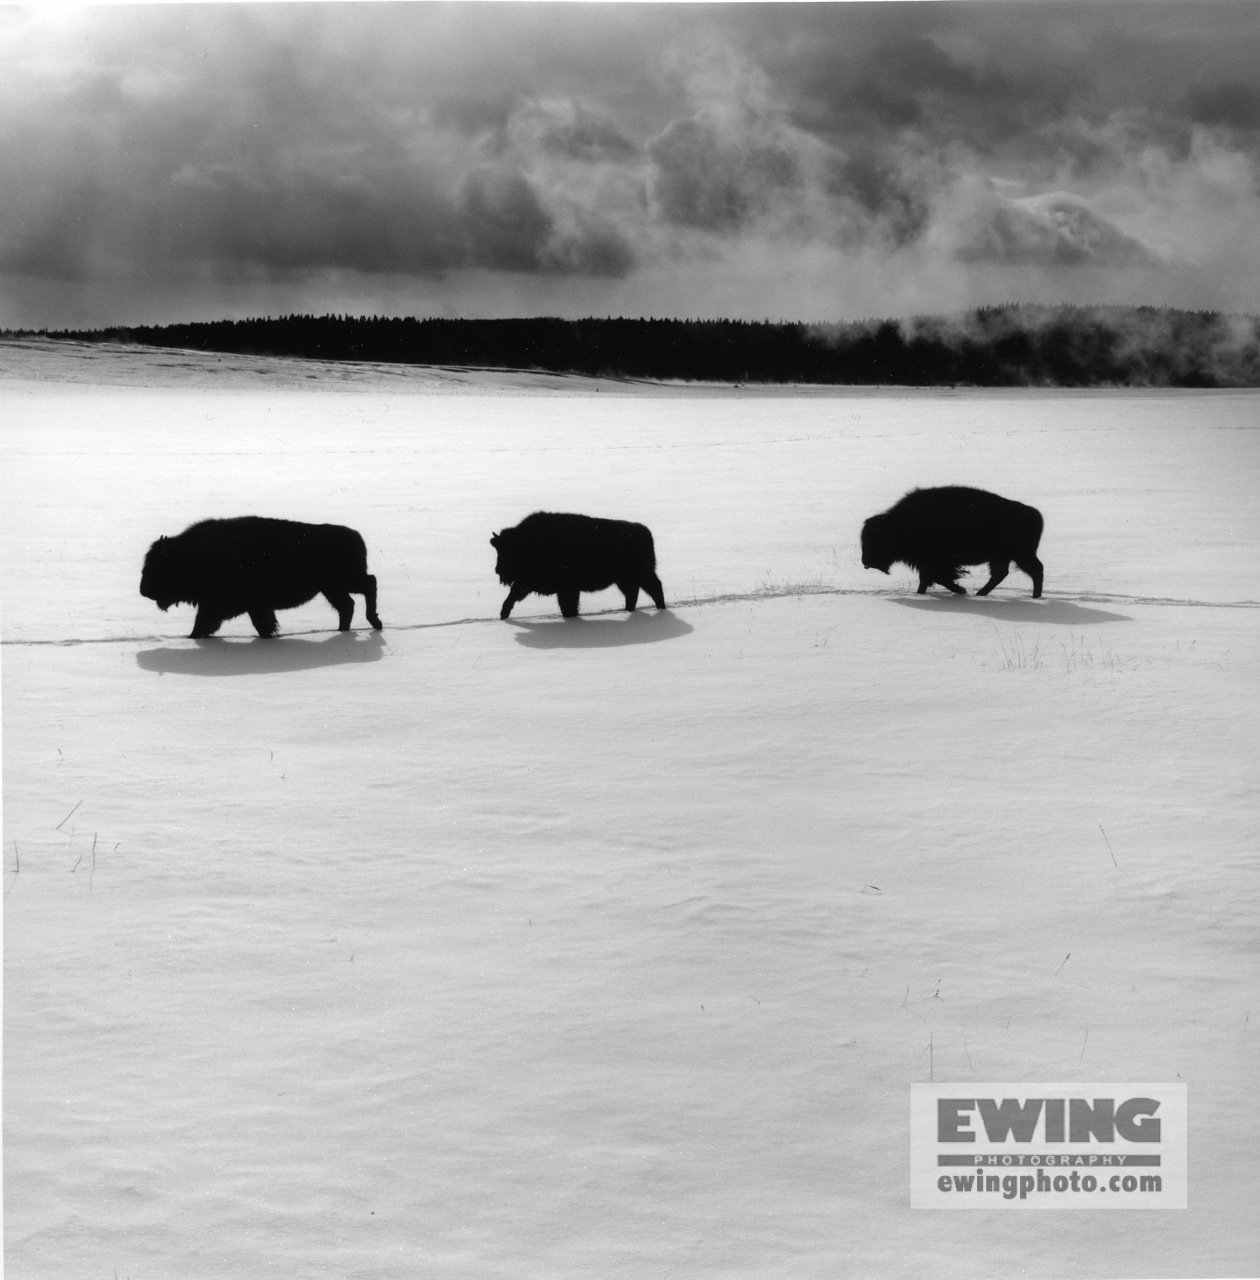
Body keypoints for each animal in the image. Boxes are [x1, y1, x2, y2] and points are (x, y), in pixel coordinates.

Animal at [139, 514, 381, 640]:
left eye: (157, 566)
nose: (143, 590)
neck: (191, 554)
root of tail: (355, 535)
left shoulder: (230, 605)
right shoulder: (230, 606)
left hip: (342, 581)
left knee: (369, 584)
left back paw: (374, 622)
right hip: (331, 588)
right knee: (348, 604)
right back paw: (344, 630)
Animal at [489, 509, 670, 619]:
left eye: (509, 551)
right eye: (499, 549)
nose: (499, 570)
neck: (526, 542)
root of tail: (645, 531)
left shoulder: (564, 588)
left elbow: (568, 606)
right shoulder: (528, 583)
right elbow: (512, 596)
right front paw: (503, 615)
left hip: (642, 573)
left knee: (654, 588)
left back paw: (661, 609)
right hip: (625, 579)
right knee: (634, 593)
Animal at [855, 486, 1044, 596]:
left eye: (876, 539)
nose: (866, 561)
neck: (900, 524)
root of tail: (1034, 513)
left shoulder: (935, 563)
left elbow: (938, 578)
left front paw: (960, 590)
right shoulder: (926, 563)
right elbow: (927, 579)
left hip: (1019, 555)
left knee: (1034, 571)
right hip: (1004, 557)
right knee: (1003, 574)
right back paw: (981, 594)